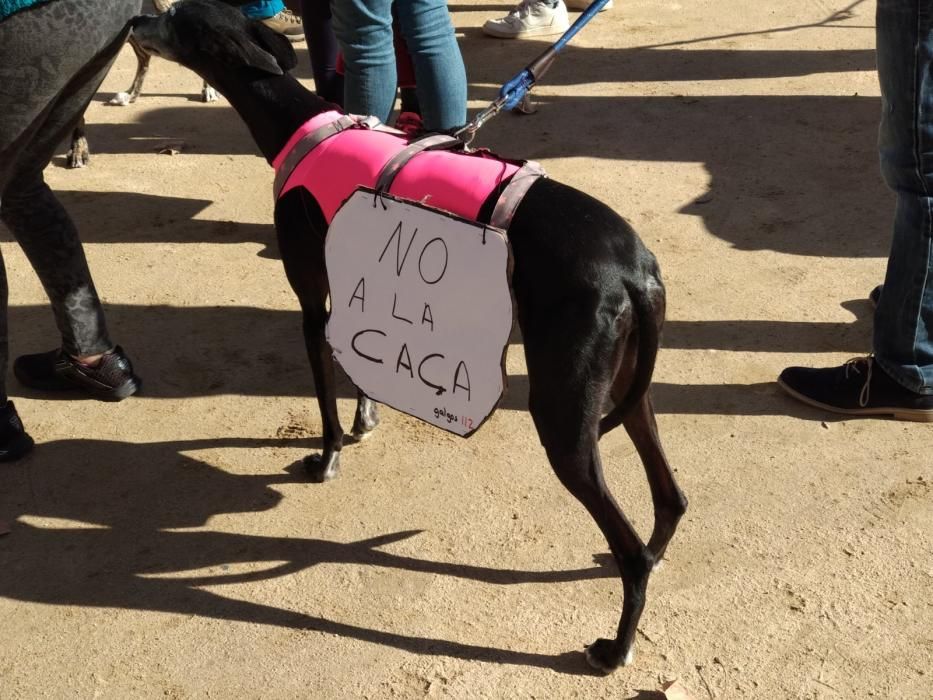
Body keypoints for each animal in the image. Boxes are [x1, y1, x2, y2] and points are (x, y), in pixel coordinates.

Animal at [131, 2, 684, 676]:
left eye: (175, 19)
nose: (132, 24)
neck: (304, 125)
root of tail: (636, 271)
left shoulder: (312, 304)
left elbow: (324, 400)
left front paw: (327, 459)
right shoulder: (356, 293)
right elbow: (362, 375)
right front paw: (366, 419)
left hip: (563, 416)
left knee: (630, 544)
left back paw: (615, 647)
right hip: (628, 391)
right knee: (671, 498)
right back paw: (652, 557)